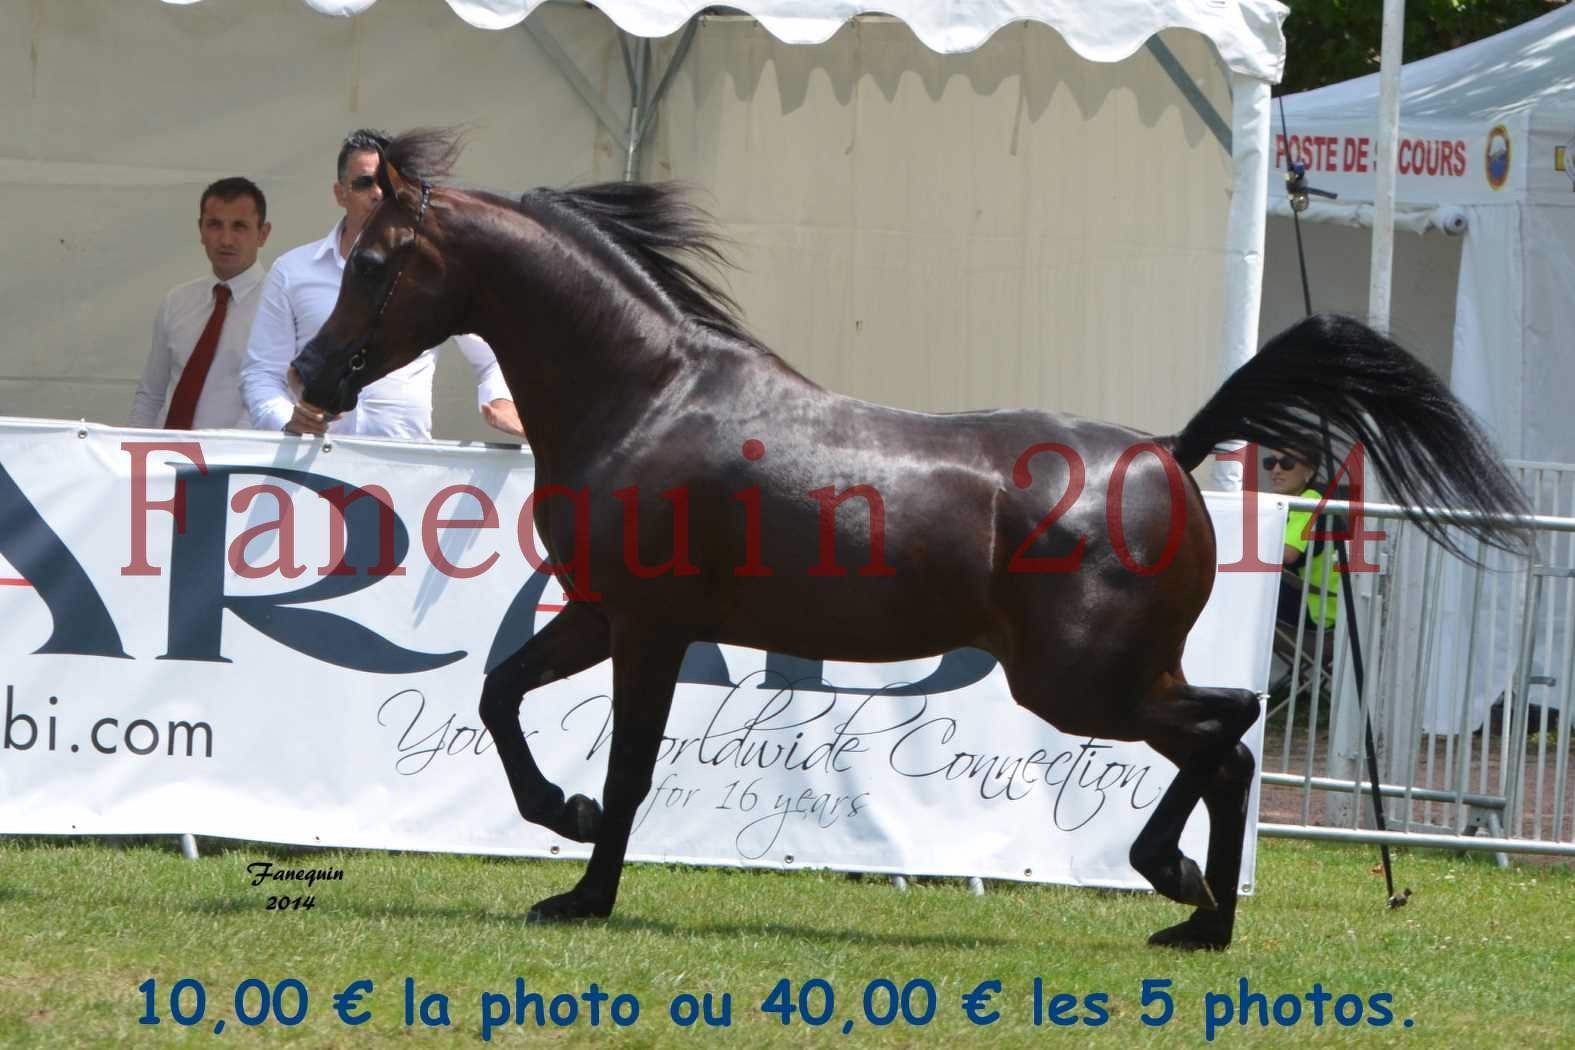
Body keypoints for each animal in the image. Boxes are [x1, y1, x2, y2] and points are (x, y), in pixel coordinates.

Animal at [292, 127, 1524, 950]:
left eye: (373, 262)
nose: (310, 375)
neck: (645, 396)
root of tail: (1171, 453)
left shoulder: (648, 627)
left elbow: (631, 766)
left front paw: (583, 892)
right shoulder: (601, 614)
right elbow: (500, 694)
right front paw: (563, 819)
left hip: (1078, 683)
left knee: (1229, 728)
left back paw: (1176, 888)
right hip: (1114, 676)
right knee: (1228, 742)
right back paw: (1195, 919)